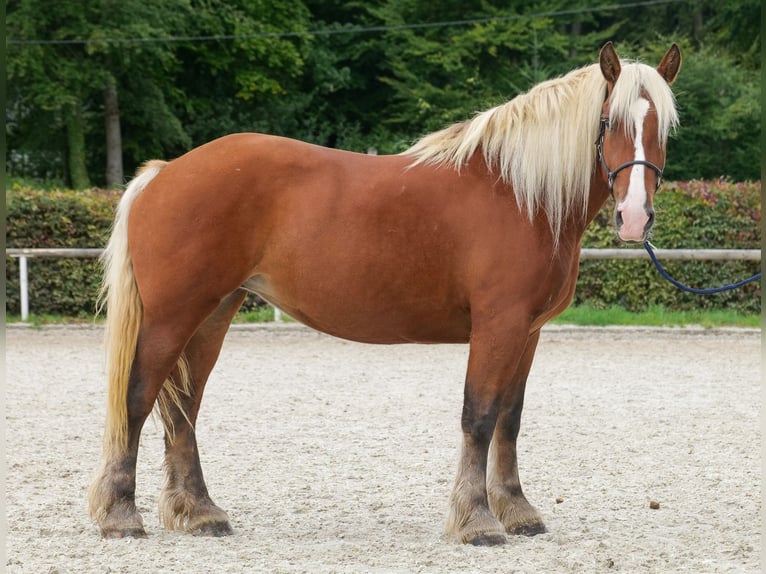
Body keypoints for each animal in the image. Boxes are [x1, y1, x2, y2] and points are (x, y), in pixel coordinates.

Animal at [89, 42, 681, 546]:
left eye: (665, 128)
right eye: (609, 122)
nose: (634, 217)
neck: (519, 194)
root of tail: (164, 173)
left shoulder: (528, 332)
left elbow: (509, 420)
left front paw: (517, 511)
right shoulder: (498, 325)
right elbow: (479, 416)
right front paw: (477, 521)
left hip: (213, 313)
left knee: (183, 407)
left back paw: (199, 513)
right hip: (172, 316)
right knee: (138, 399)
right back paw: (121, 515)